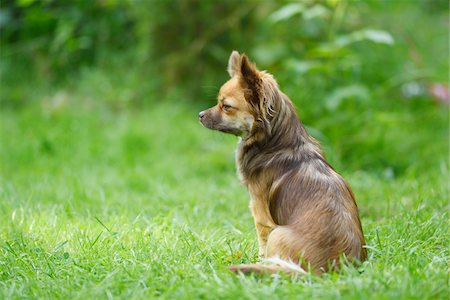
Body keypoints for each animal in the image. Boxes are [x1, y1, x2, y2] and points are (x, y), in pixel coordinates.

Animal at [199, 51, 368, 274]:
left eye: (226, 106)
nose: (200, 115)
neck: (275, 143)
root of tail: (330, 270)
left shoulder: (260, 214)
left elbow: (261, 245)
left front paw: (258, 261)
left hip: (278, 233)